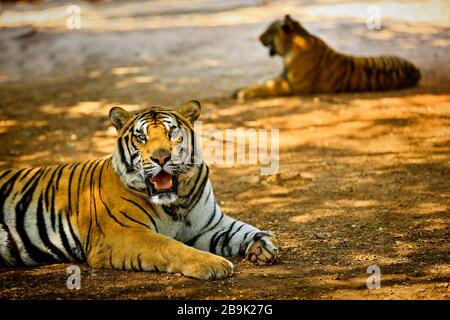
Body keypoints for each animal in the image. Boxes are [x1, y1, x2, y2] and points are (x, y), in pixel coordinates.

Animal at [0, 100, 278, 280]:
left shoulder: (210, 225)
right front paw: (213, 264)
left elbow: (242, 230)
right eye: (141, 137)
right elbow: (169, 246)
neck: (176, 202)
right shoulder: (123, 234)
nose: (161, 157)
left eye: (172, 132)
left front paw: (264, 245)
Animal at [234, 14, 420, 100]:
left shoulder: (291, 85)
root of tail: (416, 70)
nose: (258, 37)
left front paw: (243, 93)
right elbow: (262, 82)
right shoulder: (283, 77)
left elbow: (266, 88)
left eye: (270, 30)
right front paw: (240, 89)